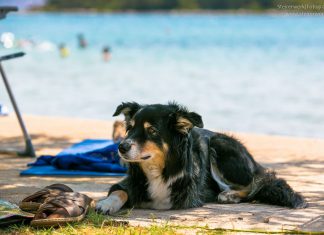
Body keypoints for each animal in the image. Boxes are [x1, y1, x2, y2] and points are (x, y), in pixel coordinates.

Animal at [95, 102, 306, 215]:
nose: (121, 147)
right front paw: (106, 204)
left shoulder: (187, 196)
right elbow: (119, 191)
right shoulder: (130, 182)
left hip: (220, 147)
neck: (159, 169)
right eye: (130, 128)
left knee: (257, 183)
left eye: (152, 131)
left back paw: (230, 194)